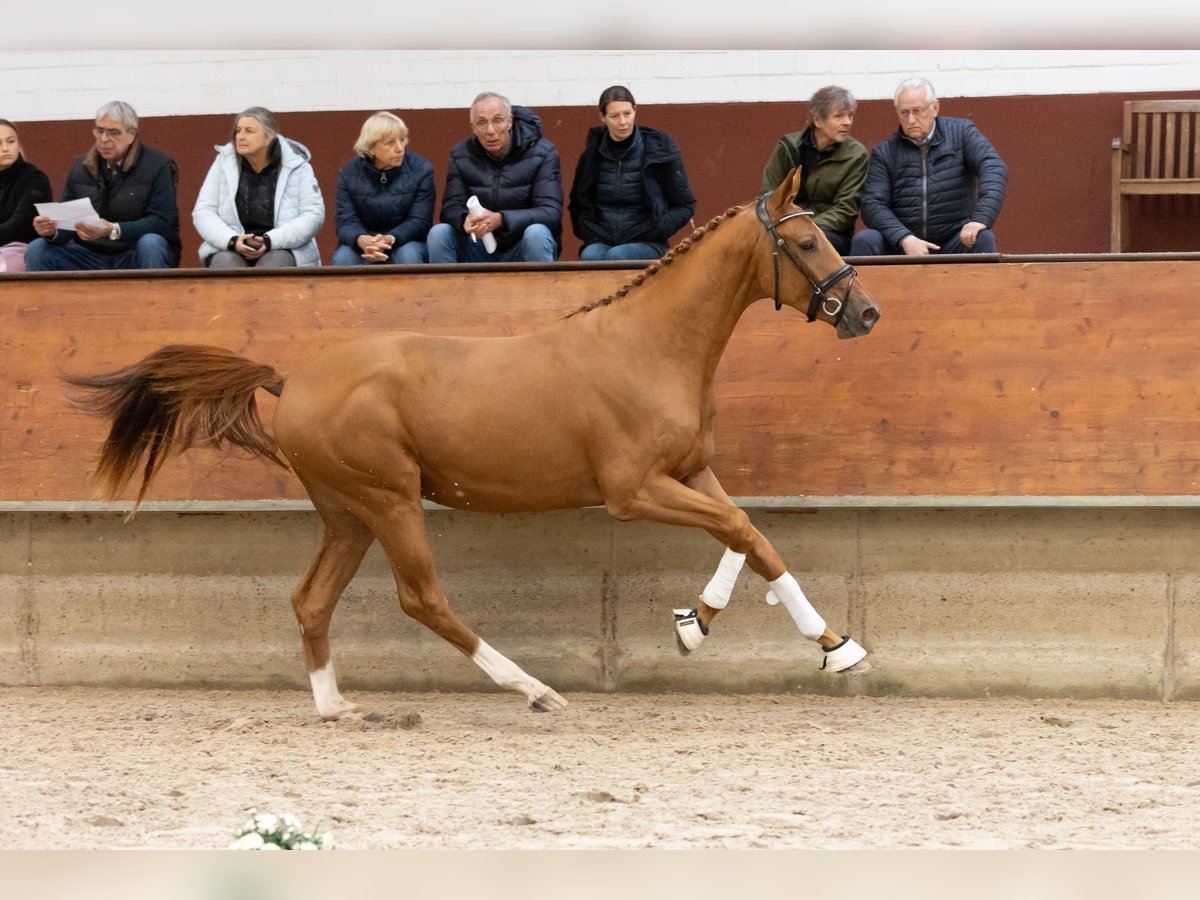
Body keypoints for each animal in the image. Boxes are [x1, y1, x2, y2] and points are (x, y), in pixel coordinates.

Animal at [63, 169, 880, 720]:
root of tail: (291, 381)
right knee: (423, 599)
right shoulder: (634, 490)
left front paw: (800, 641)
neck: (649, 347)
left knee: (310, 600)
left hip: (349, 513)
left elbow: (752, 537)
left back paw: (337, 708)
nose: (864, 312)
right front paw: (725, 631)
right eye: (806, 239)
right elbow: (740, 528)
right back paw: (534, 689)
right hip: (390, 500)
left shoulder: (691, 471)